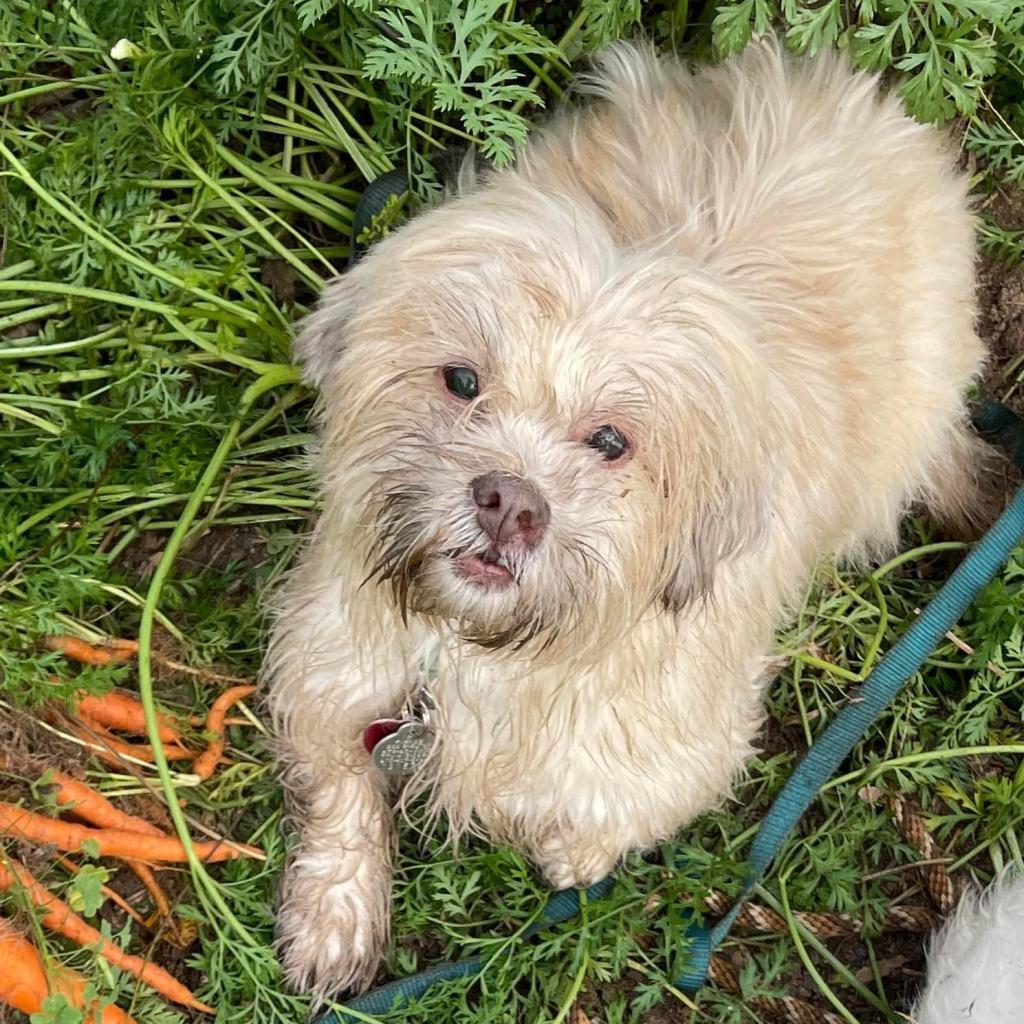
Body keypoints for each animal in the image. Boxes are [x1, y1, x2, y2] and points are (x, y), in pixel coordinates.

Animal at [268, 39, 987, 999]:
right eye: (461, 380)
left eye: (610, 440)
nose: (512, 501)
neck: (480, 654)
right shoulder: (326, 654)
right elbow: (341, 781)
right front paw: (336, 911)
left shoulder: (675, 753)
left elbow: (603, 824)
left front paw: (573, 854)